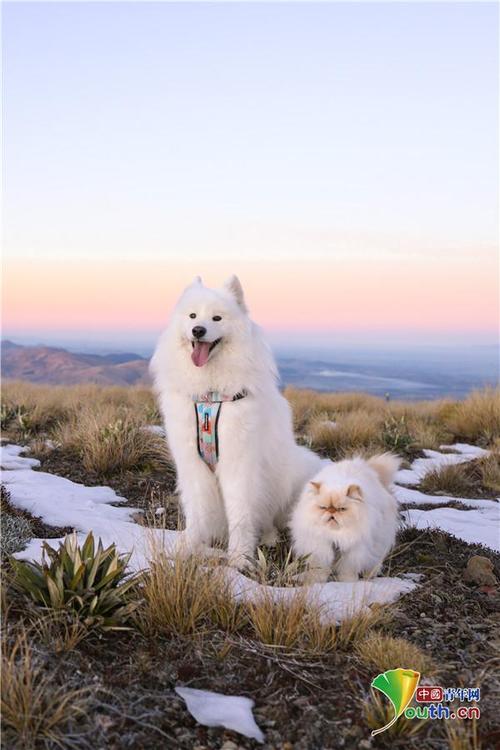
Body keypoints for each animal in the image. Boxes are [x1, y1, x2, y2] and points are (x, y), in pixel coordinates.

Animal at [150, 276, 322, 568]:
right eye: (192, 315)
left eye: (217, 318)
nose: (198, 330)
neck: (211, 397)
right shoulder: (193, 465)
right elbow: (197, 512)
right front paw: (187, 546)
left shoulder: (238, 465)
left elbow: (241, 514)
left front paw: (240, 557)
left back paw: (269, 537)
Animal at [290, 456, 402, 584]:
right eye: (323, 507)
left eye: (342, 509)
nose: (332, 511)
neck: (336, 535)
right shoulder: (320, 550)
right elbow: (320, 570)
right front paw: (316, 581)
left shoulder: (353, 553)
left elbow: (347, 570)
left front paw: (347, 583)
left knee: (374, 563)